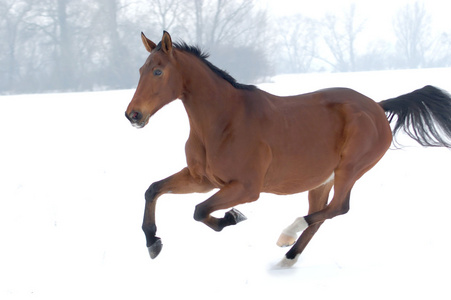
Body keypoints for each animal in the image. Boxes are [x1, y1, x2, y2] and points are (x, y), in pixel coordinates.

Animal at [124, 31, 451, 266]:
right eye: (139, 69)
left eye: (158, 72)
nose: (133, 115)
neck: (223, 121)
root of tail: (378, 107)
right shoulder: (201, 179)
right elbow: (153, 190)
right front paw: (153, 243)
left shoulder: (246, 188)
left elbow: (199, 211)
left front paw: (233, 217)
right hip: (321, 180)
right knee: (322, 213)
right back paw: (288, 258)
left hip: (350, 169)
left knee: (338, 208)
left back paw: (286, 236)